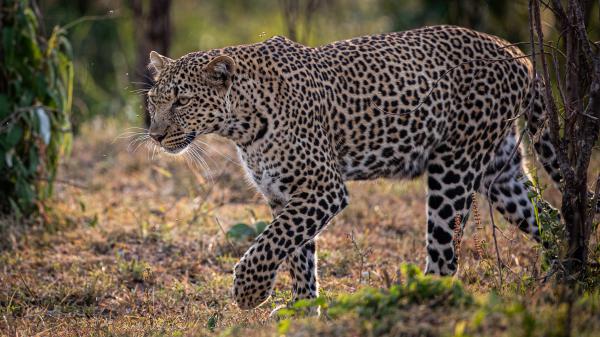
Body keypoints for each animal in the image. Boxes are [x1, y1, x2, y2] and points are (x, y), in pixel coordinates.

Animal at [145, 25, 568, 310]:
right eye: (154, 99)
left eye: (182, 101)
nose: (154, 134)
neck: (241, 123)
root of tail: (518, 53)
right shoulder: (284, 194)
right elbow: (298, 254)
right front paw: (303, 311)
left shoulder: (323, 187)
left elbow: (271, 242)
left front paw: (250, 291)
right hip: (501, 171)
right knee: (549, 217)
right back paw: (564, 273)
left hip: (454, 167)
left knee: (445, 255)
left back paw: (414, 299)